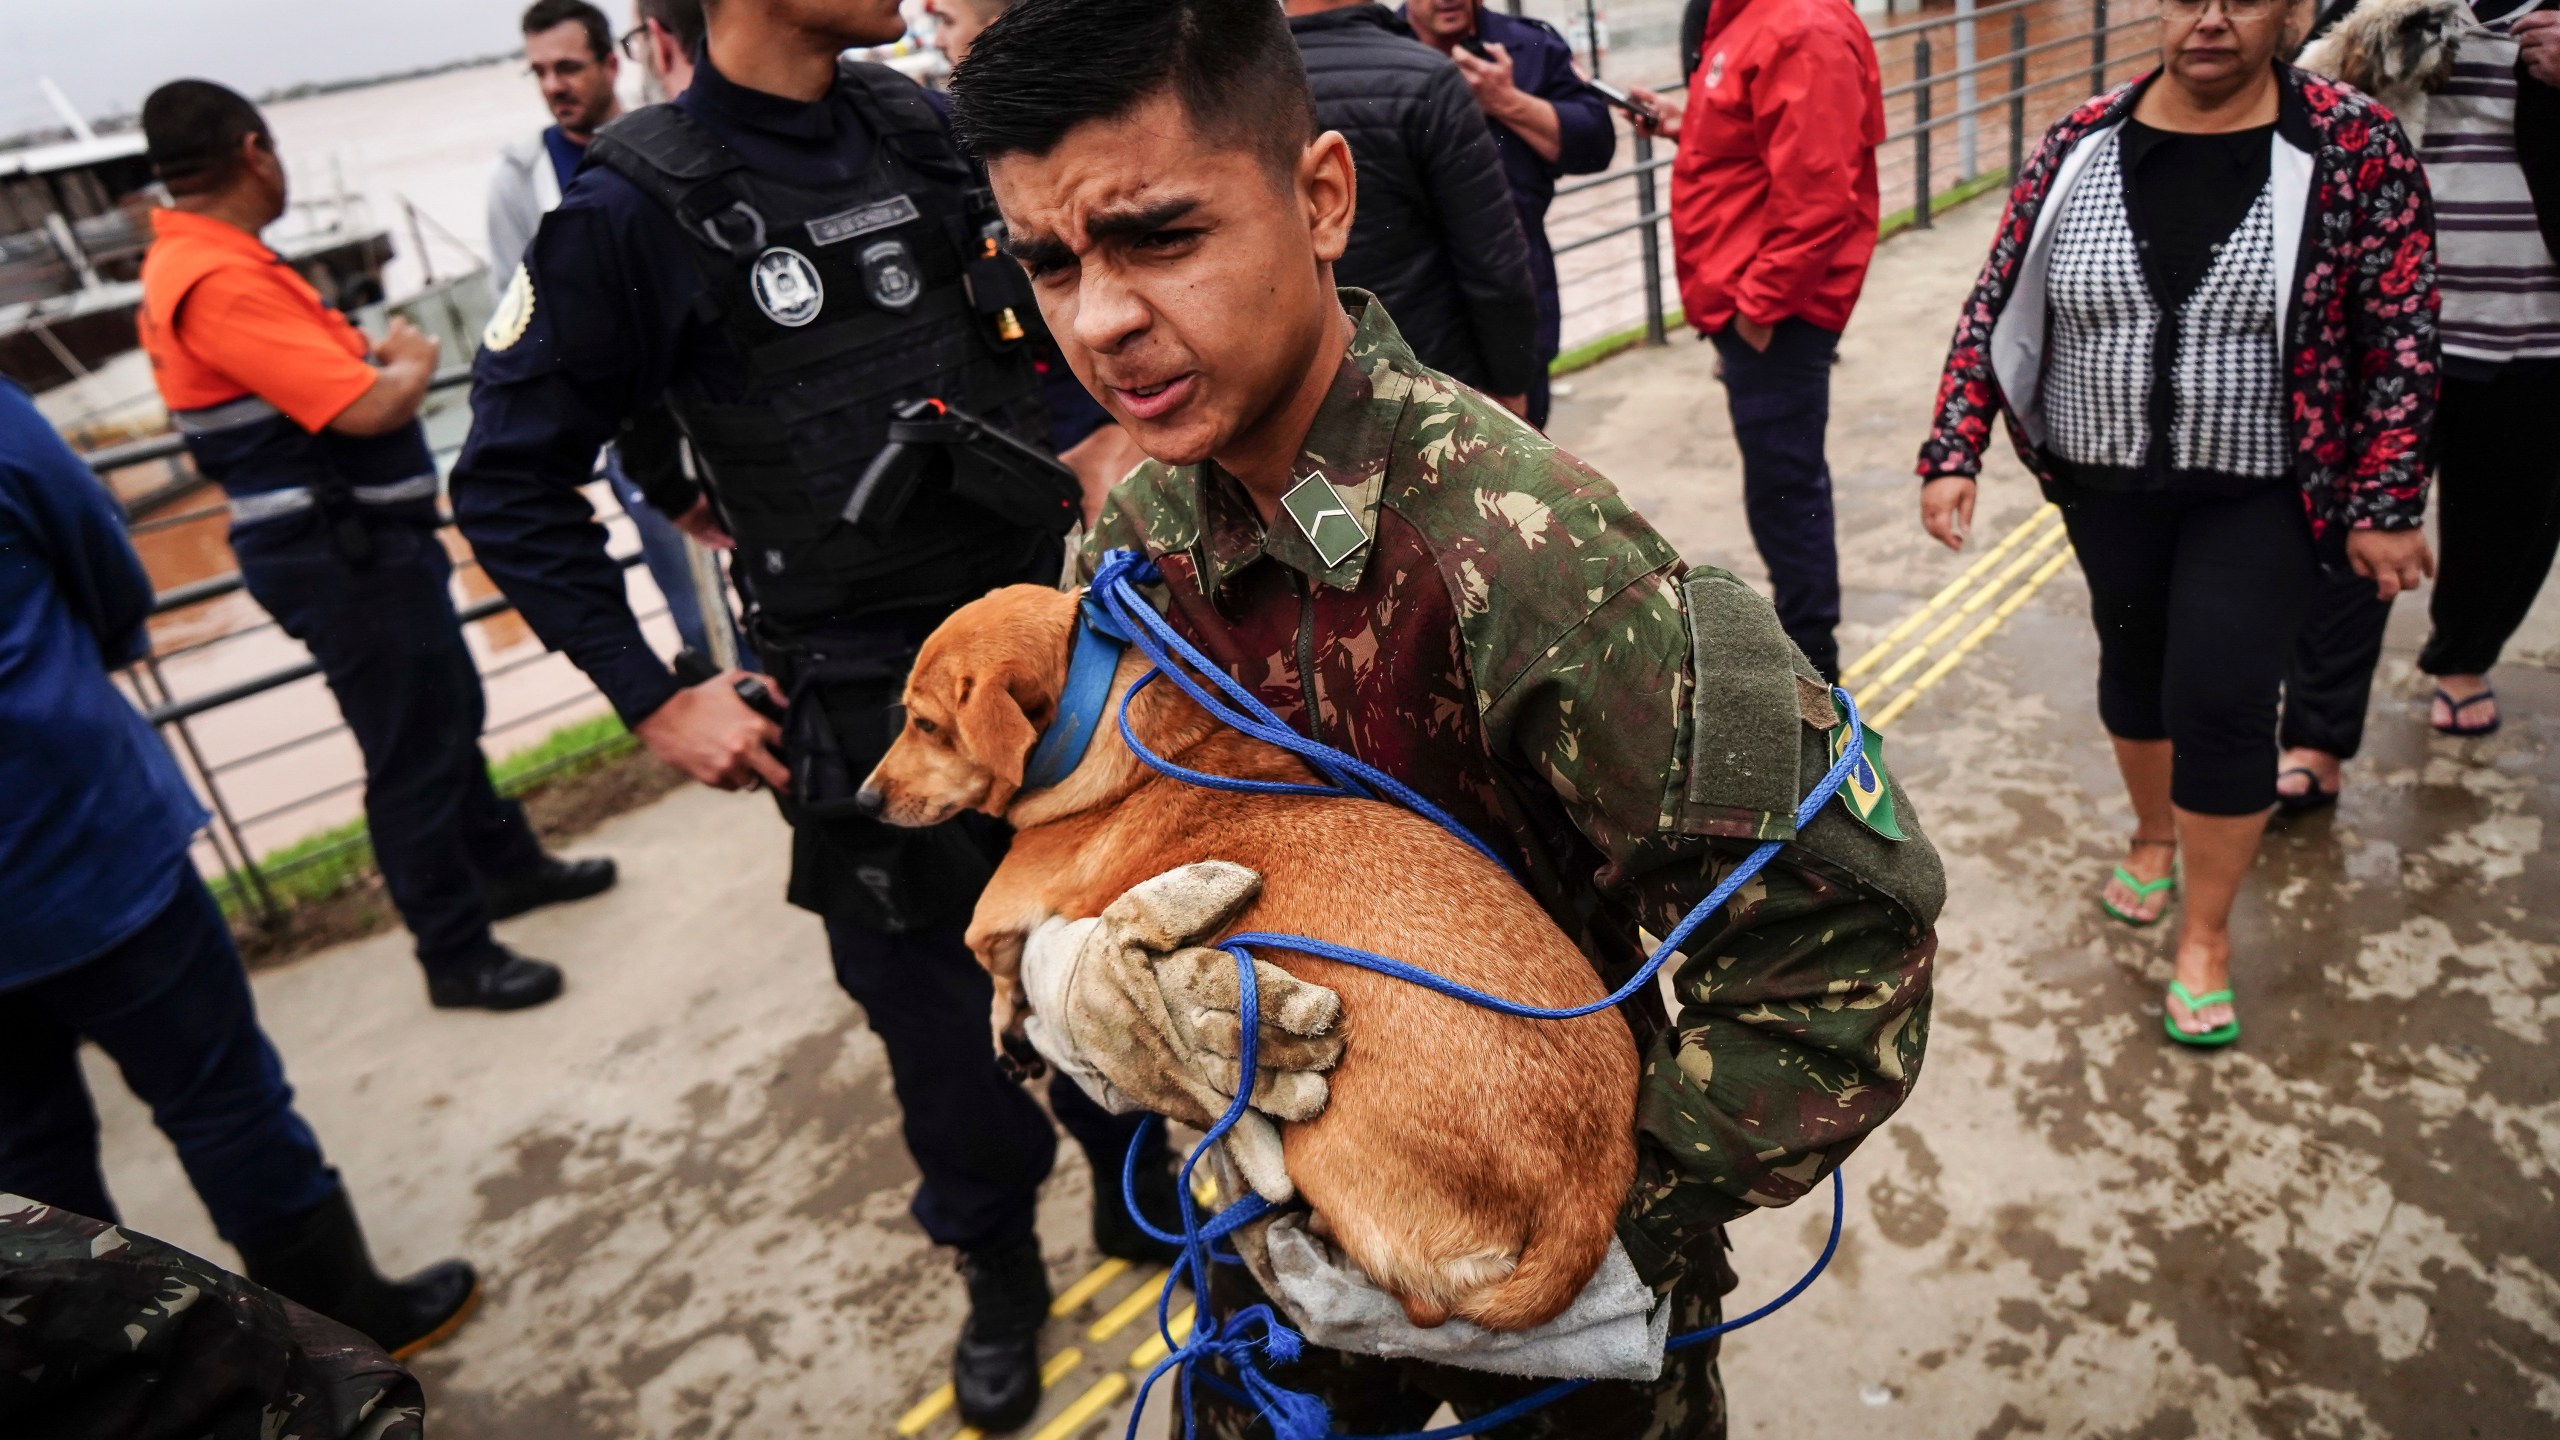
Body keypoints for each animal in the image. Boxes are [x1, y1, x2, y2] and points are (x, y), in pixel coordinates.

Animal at [865, 579, 1638, 1322]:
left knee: (1421, 1301)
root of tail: (1585, 1202)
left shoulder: (992, 915)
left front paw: (1008, 1028)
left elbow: (994, 970)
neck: (1101, 740)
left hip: (1321, 1150)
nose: (864, 800)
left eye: (925, 725)